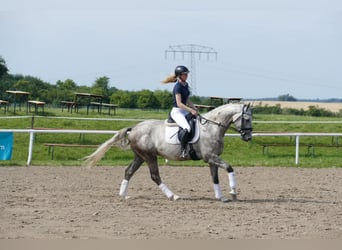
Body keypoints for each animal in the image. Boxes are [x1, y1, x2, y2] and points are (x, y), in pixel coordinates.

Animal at [84, 102, 252, 202]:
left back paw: (123, 195)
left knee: (128, 171)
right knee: (155, 176)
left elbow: (215, 177)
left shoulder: (213, 158)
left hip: (140, 156)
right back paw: (173, 195)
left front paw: (220, 197)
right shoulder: (210, 157)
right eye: (247, 119)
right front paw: (233, 192)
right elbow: (229, 168)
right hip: (150, 156)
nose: (248, 137)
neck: (211, 127)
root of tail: (134, 128)